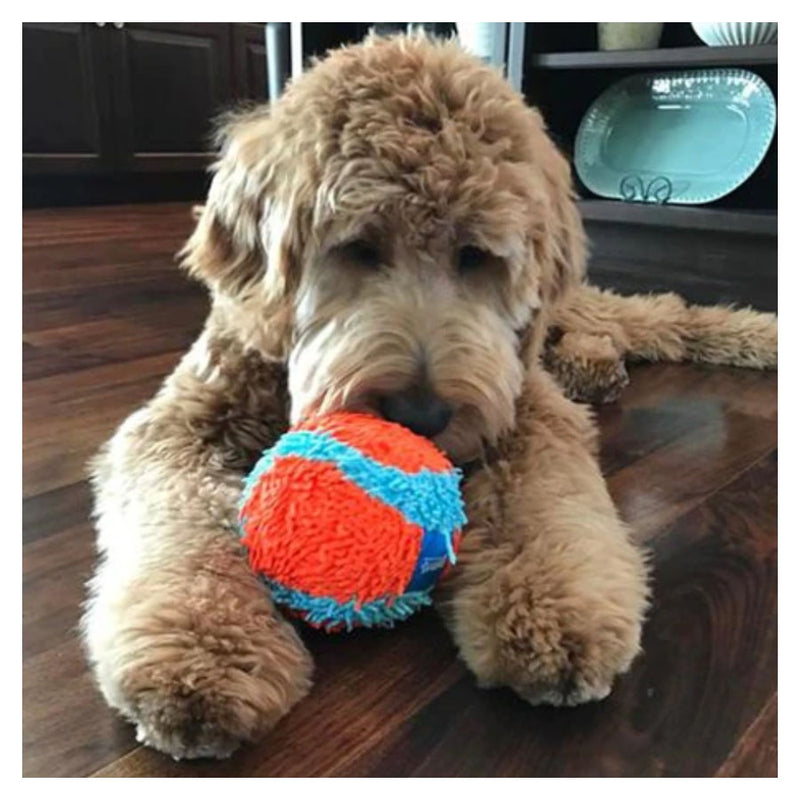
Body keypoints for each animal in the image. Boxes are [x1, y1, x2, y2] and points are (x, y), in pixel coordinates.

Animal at [79, 34, 776, 760]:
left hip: (560, 319)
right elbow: (186, 526)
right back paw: (595, 364)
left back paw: (745, 335)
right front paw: (202, 653)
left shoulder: (528, 413)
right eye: (358, 246)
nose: (420, 416)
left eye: (475, 255)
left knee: (658, 314)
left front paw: (556, 612)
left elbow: (541, 502)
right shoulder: (177, 426)